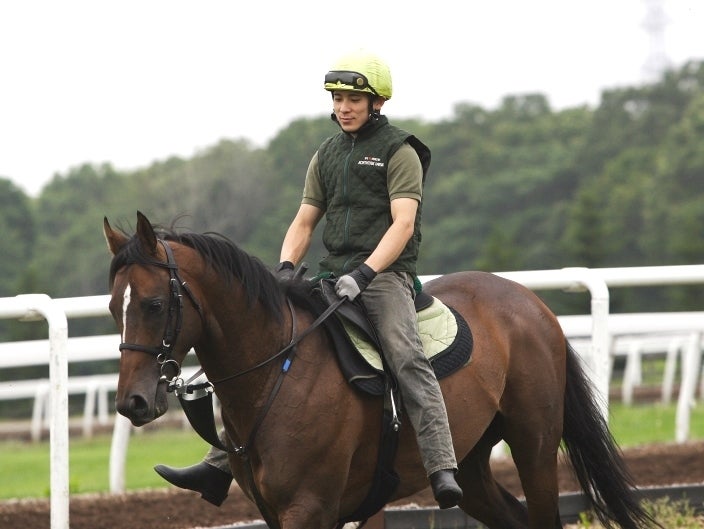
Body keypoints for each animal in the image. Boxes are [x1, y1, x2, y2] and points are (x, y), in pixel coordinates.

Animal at [103, 211, 658, 529]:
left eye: (153, 304)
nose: (132, 401)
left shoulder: (310, 508)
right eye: (113, 306)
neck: (279, 371)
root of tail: (530, 303)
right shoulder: (279, 510)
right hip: (473, 462)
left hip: (534, 444)